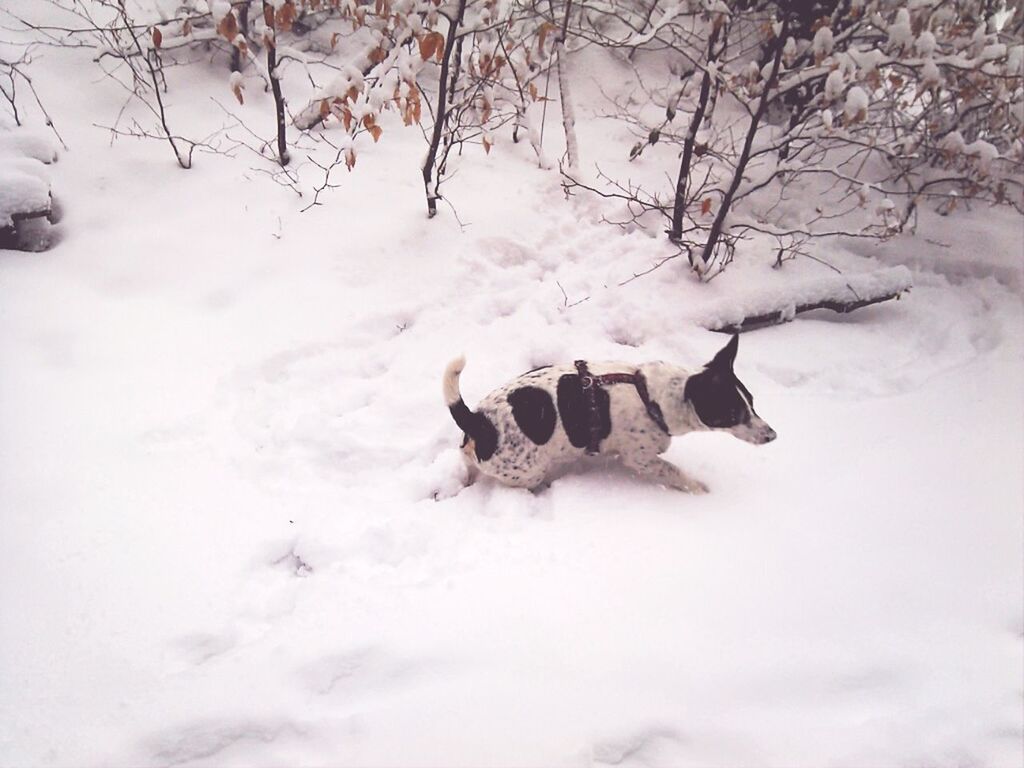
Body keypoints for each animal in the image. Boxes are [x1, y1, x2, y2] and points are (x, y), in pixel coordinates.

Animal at [442, 335, 774, 493]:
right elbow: (674, 472)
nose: (772, 435)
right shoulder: (641, 459)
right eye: (734, 412)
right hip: (527, 471)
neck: (653, 395)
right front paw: (698, 488)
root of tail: (477, 420)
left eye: (752, 402)